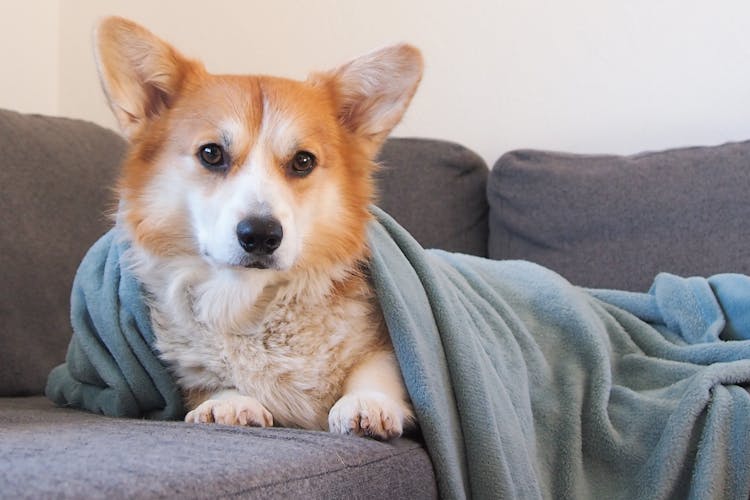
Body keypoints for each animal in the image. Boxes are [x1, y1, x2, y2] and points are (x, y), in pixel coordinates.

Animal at [94, 15, 424, 440]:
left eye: (303, 161)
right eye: (211, 153)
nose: (261, 236)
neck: (249, 301)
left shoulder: (388, 347)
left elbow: (377, 367)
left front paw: (366, 403)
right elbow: (210, 383)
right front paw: (228, 403)